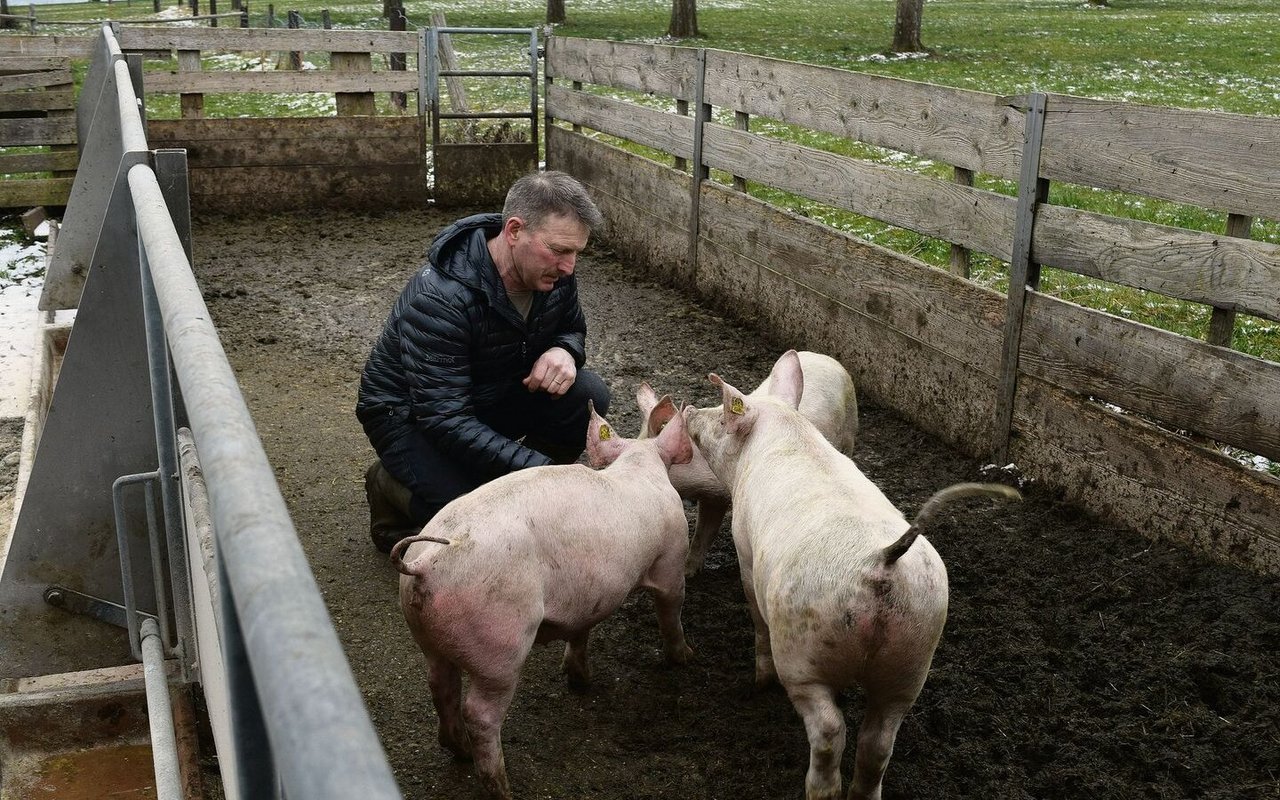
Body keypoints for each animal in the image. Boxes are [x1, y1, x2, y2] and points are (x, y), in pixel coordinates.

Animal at [389, 399, 696, 798]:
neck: (640, 467)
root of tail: (426, 562)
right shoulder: (671, 560)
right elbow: (671, 611)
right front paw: (686, 658)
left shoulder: (588, 596)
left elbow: (581, 633)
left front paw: (580, 681)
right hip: (500, 645)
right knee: (479, 713)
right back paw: (502, 788)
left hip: (426, 636)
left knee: (440, 686)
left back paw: (460, 752)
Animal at [686, 348, 1013, 798]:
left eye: (721, 415)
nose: (687, 409)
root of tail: (879, 562)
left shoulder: (746, 553)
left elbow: (754, 614)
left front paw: (757, 683)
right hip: (912, 659)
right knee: (879, 742)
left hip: (804, 656)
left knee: (829, 730)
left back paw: (817, 787)